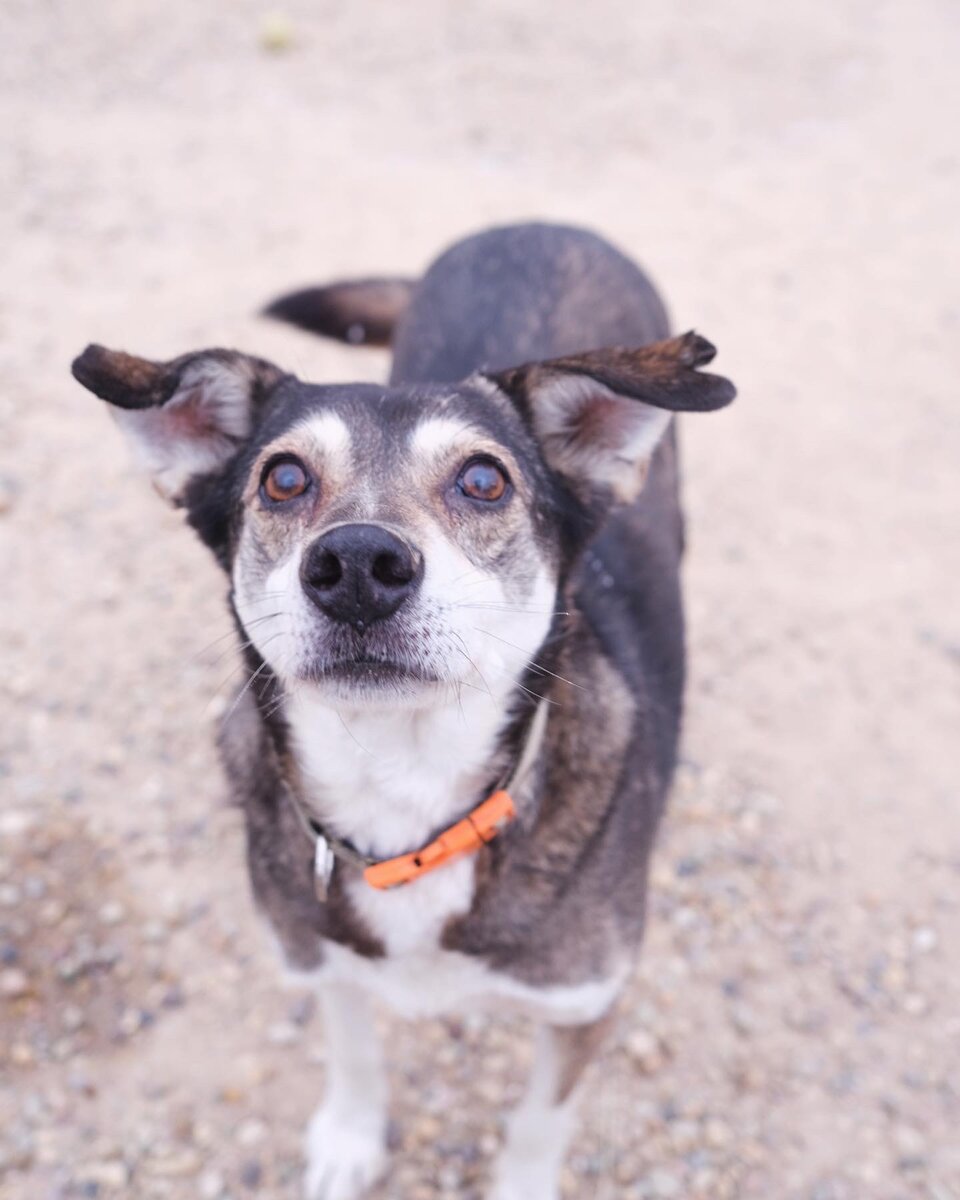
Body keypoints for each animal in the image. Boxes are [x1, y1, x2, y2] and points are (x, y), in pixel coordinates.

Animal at [71, 225, 734, 1200]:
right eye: (283, 478)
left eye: (485, 481)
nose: (356, 563)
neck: (406, 794)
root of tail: (536, 222)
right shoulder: (318, 955)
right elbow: (352, 1049)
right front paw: (349, 1140)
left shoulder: (583, 1004)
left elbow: (539, 1122)